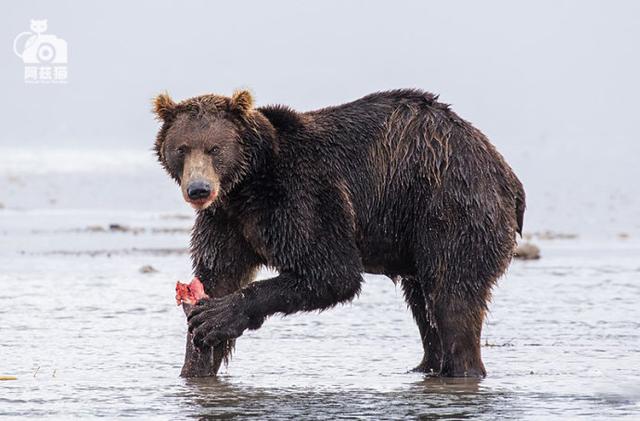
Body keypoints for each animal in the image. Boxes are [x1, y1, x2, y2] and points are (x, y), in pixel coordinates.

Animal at [154, 88, 524, 378]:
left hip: (450, 208)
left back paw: (462, 368)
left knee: (452, 299)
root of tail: (506, 174)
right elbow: (218, 276)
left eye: (215, 149)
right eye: (182, 148)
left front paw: (218, 315)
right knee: (424, 305)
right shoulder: (226, 222)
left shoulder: (301, 197)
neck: (247, 188)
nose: (199, 189)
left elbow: (331, 271)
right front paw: (197, 352)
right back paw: (426, 366)